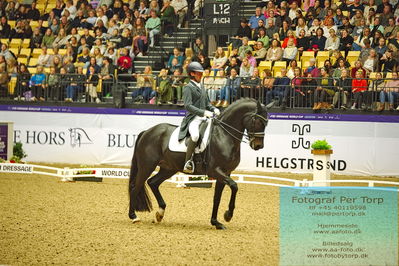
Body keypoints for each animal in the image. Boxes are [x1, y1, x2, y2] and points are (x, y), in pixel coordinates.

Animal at [130, 98, 270, 230]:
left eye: (266, 123)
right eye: (257, 121)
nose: (258, 146)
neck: (224, 136)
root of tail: (147, 131)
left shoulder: (225, 173)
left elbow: (217, 198)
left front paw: (216, 222)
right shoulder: (215, 171)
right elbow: (234, 186)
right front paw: (228, 215)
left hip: (168, 168)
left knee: (153, 183)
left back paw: (160, 213)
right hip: (147, 166)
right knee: (136, 187)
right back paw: (134, 216)